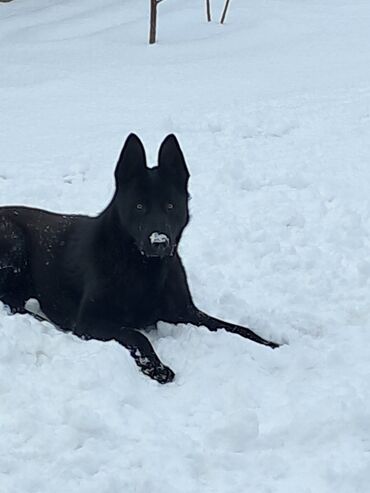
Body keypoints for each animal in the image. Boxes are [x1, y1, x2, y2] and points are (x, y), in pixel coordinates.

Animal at [0, 135, 278, 384]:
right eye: (139, 206)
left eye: (170, 206)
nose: (159, 242)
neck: (142, 266)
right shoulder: (88, 321)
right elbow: (136, 335)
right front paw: (157, 367)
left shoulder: (186, 312)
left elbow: (240, 328)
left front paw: (272, 344)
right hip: (14, 240)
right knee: (10, 301)